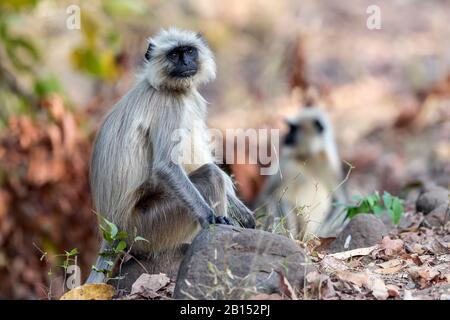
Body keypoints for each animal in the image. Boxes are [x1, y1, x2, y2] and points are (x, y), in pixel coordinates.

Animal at [86, 27, 255, 282]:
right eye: (174, 55)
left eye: (189, 52)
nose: (185, 62)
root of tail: (112, 233)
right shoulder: (170, 103)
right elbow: (166, 166)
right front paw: (211, 218)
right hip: (147, 227)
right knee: (211, 175)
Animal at [255, 107, 346, 240]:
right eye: (290, 128)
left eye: (294, 129)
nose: (285, 136)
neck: (308, 158)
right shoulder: (286, 162)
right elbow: (267, 196)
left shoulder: (329, 166)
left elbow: (339, 201)